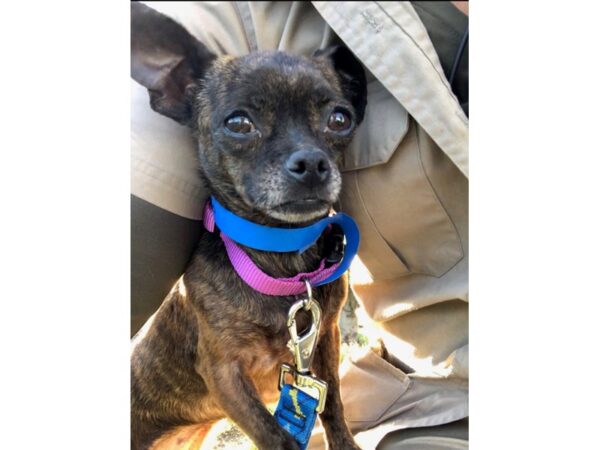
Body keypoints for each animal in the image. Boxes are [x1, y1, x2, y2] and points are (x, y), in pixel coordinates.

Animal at [130, 4, 366, 450]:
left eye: (340, 119)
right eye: (238, 123)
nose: (311, 162)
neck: (283, 259)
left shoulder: (324, 339)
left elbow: (334, 406)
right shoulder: (225, 373)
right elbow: (276, 435)